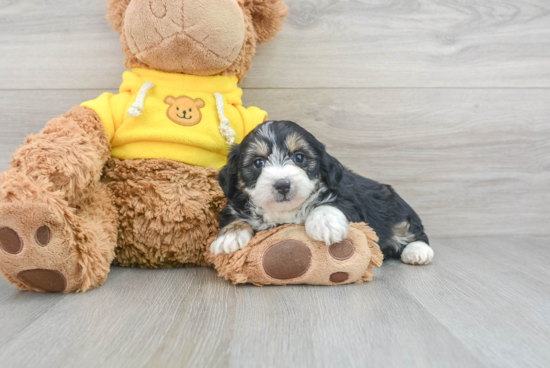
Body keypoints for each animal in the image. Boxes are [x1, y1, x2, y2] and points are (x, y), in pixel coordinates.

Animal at [211, 121, 436, 264]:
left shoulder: (349, 199)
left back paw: (418, 252)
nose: (282, 184)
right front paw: (228, 237)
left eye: (299, 157)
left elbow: (329, 203)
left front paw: (325, 224)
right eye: (258, 162)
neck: (286, 212)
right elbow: (235, 218)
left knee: (413, 231)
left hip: (397, 209)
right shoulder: (233, 205)